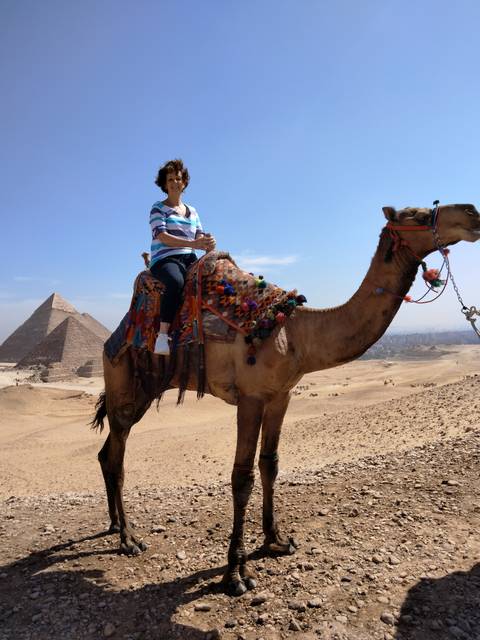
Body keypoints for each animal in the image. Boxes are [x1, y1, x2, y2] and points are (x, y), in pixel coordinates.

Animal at [91, 203, 480, 596]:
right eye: (416, 214)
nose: (472, 212)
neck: (295, 333)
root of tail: (112, 337)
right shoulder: (250, 398)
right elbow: (242, 477)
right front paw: (236, 573)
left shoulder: (281, 395)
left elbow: (270, 464)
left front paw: (276, 540)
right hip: (125, 383)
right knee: (118, 460)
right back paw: (129, 539)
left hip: (140, 391)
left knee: (107, 453)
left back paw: (114, 526)